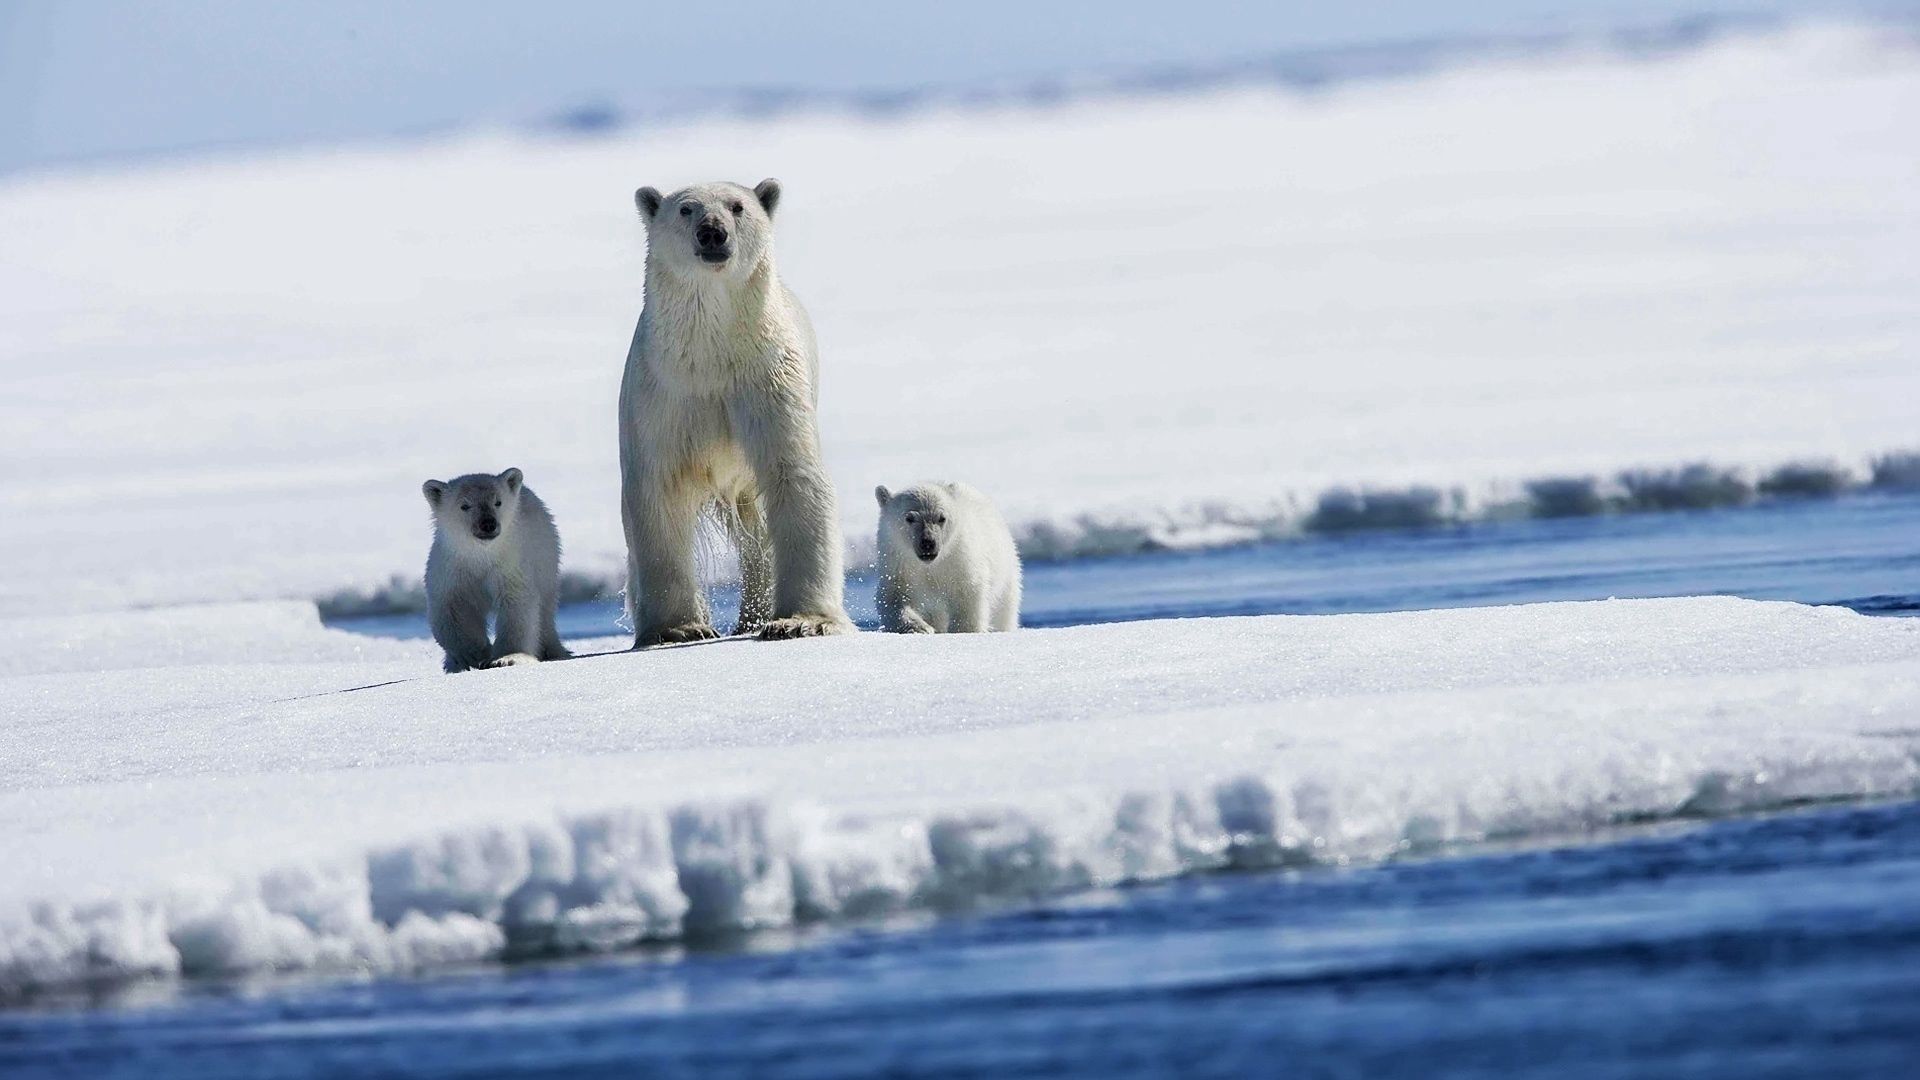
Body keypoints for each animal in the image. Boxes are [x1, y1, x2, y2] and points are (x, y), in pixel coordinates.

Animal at [420, 466, 568, 668]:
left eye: (498, 502)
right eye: (464, 506)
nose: (488, 523)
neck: (481, 555)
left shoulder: (510, 566)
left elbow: (516, 605)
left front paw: (507, 658)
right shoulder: (450, 569)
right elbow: (452, 608)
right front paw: (474, 655)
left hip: (545, 560)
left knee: (545, 610)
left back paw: (552, 651)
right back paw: (452, 665)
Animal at [618, 179, 852, 641]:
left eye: (738, 206)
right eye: (686, 209)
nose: (712, 232)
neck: (712, 355)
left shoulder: (767, 379)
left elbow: (794, 473)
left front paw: (801, 621)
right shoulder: (663, 394)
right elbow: (658, 488)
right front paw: (679, 627)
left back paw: (753, 616)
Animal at [871, 480, 1021, 630]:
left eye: (941, 518)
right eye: (909, 518)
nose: (928, 542)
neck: (929, 565)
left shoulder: (959, 561)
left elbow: (967, 597)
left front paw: (962, 630)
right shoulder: (899, 564)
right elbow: (893, 597)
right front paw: (921, 628)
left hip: (1005, 575)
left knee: (1004, 613)